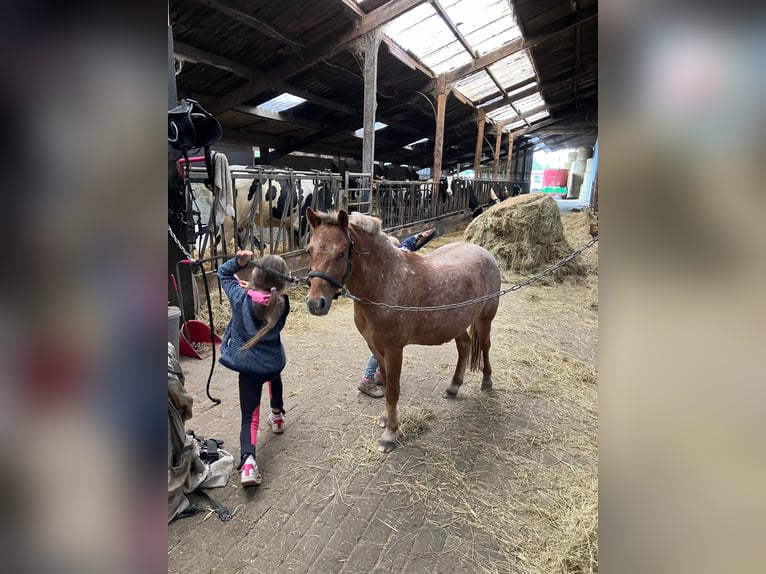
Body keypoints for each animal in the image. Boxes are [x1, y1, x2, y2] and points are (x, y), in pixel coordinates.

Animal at [304, 208, 501, 453]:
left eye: (341, 253)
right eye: (309, 250)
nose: (315, 304)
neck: (386, 282)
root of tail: (485, 252)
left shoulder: (394, 350)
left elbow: (392, 391)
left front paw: (390, 434)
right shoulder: (376, 347)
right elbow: (387, 385)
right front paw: (386, 420)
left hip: (485, 319)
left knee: (485, 346)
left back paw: (487, 382)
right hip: (456, 323)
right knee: (464, 347)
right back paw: (453, 387)